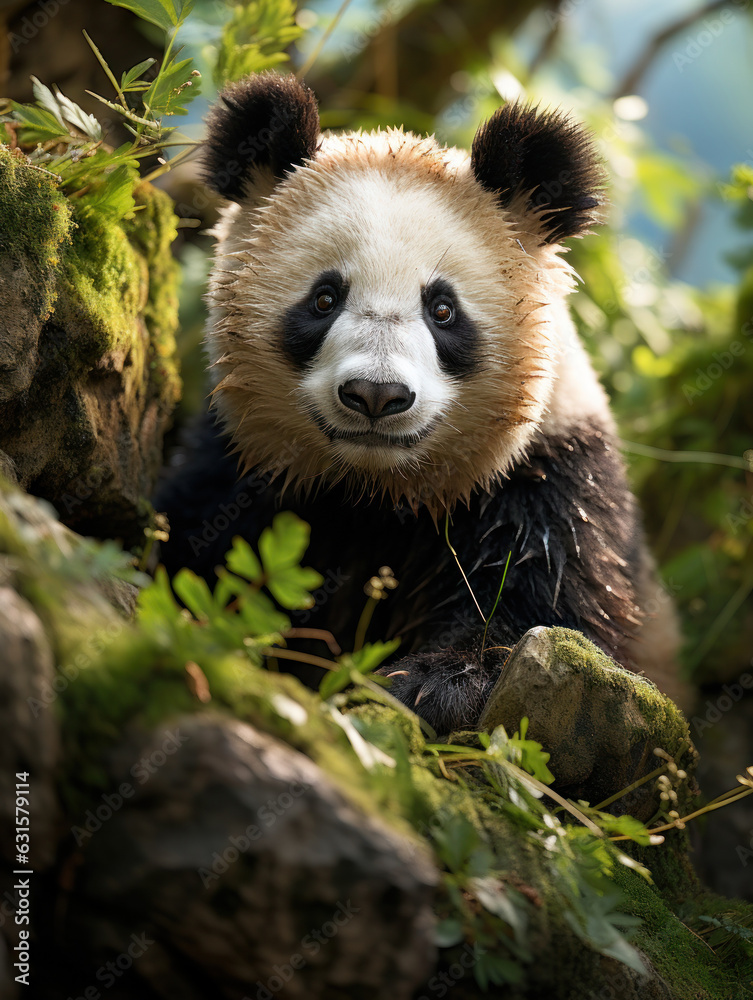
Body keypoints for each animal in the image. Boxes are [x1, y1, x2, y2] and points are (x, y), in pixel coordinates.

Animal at [157, 71, 684, 734]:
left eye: (443, 310)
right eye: (324, 298)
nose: (376, 395)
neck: (375, 491)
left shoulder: (549, 478)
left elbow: (543, 606)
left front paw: (429, 684)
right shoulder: (243, 461)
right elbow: (194, 540)